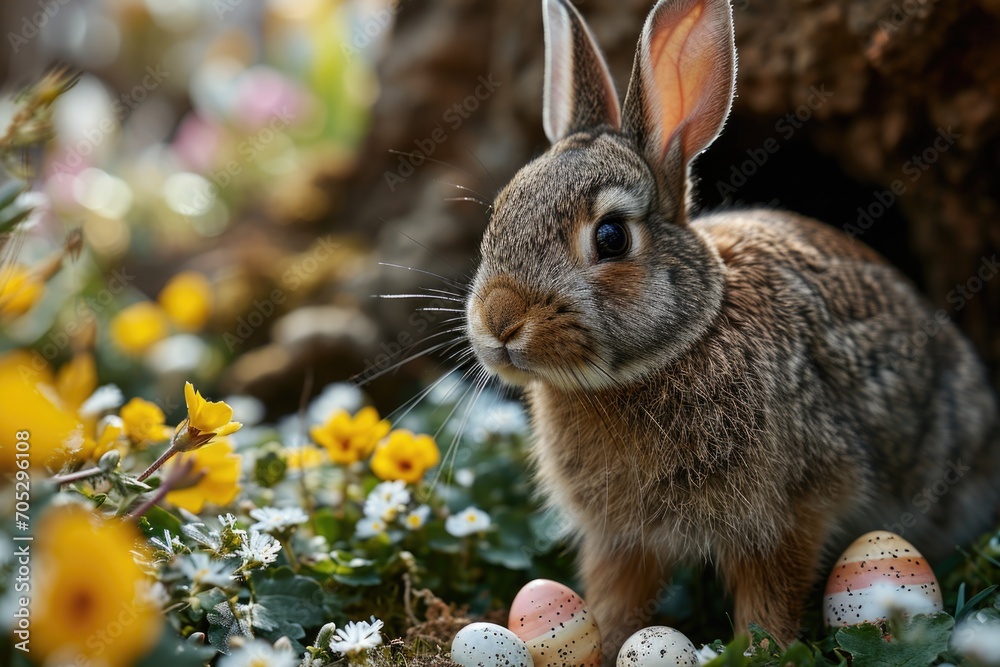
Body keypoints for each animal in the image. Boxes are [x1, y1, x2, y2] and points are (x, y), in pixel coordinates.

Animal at [463, 0, 1000, 661]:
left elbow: (771, 595)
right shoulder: (620, 539)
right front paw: (606, 645)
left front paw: (757, 652)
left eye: (610, 237)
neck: (680, 343)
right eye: (498, 214)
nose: (499, 321)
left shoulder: (788, 514)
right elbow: (615, 598)